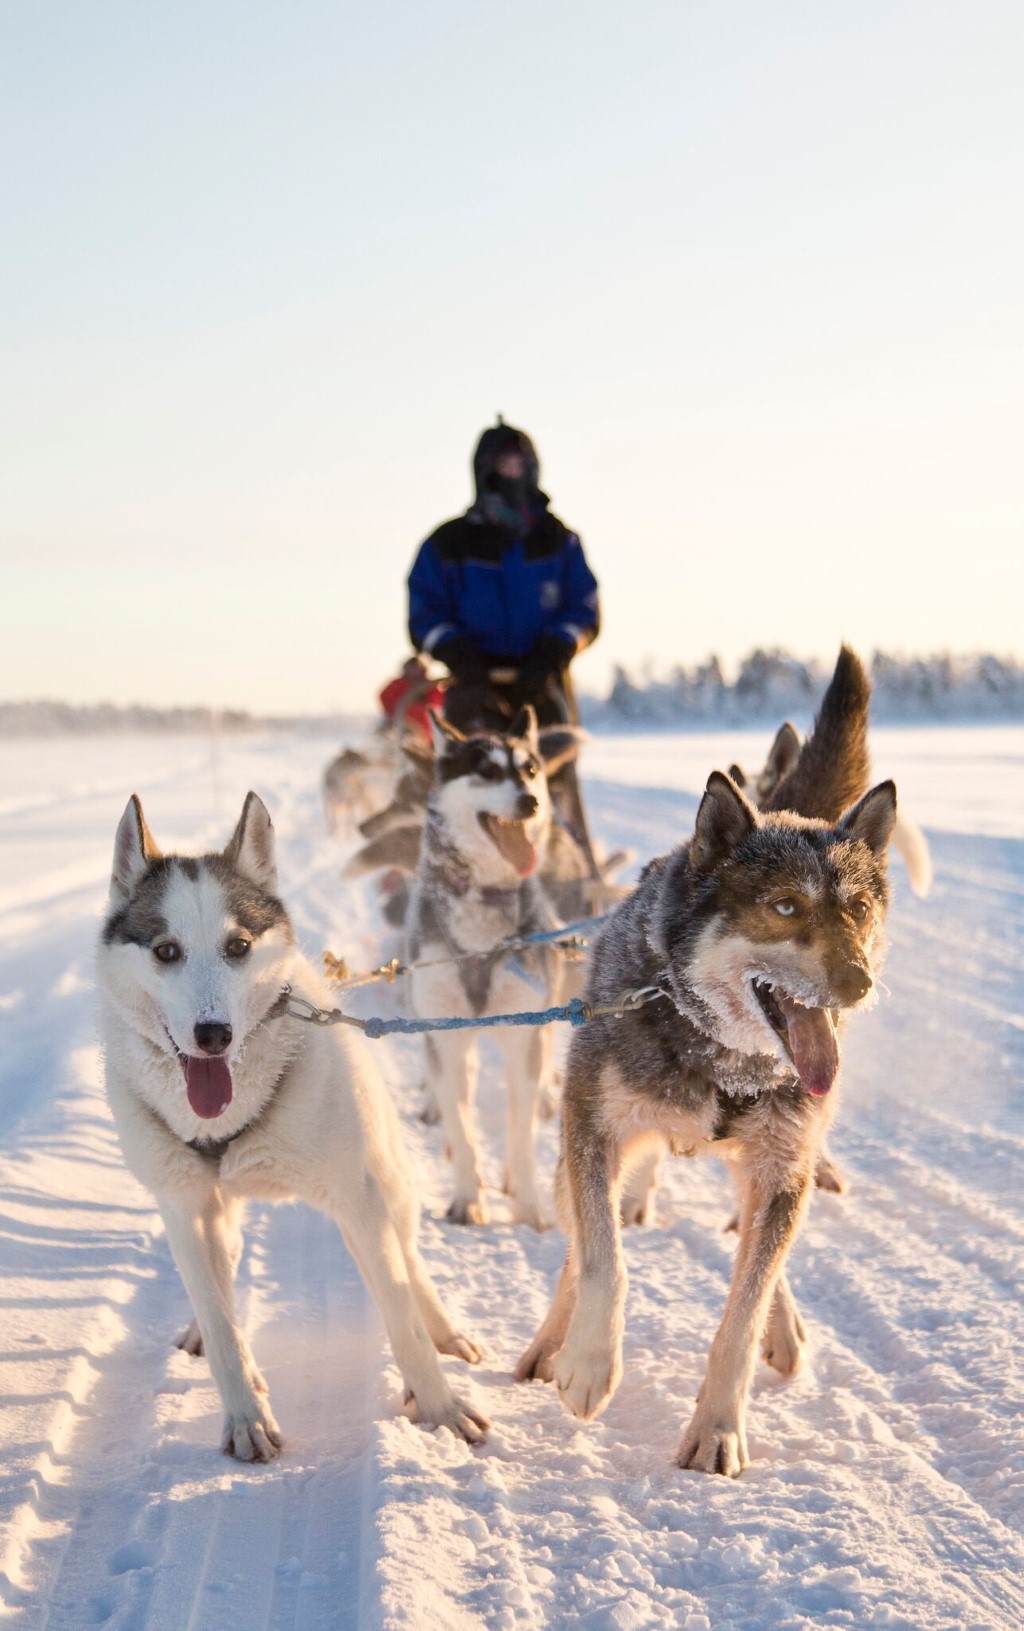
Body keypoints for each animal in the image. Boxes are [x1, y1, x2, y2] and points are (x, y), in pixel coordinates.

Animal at [96, 786, 489, 1454]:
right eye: (166, 951)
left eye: (238, 946)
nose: (214, 1034)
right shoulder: (182, 1206)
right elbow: (221, 1324)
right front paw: (245, 1416)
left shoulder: (357, 1197)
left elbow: (401, 1318)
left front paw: (441, 1409)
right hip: (215, 1206)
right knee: (223, 1269)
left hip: (387, 1181)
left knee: (411, 1263)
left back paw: (444, 1331)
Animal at [407, 707, 583, 1226]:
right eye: (485, 770)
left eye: (529, 769)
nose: (529, 800)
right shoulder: (445, 1036)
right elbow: (465, 1131)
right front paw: (467, 1198)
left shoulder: (523, 1036)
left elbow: (520, 1135)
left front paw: (527, 1205)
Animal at [518, 645, 893, 1480]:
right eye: (785, 905)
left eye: (857, 909)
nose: (859, 982)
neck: (718, 1056)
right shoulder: (592, 1127)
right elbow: (602, 1258)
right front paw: (588, 1362)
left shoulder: (783, 1169)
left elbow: (741, 1315)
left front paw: (719, 1426)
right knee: (575, 1246)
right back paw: (549, 1345)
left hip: (779, 1161)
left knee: (764, 1245)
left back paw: (784, 1327)